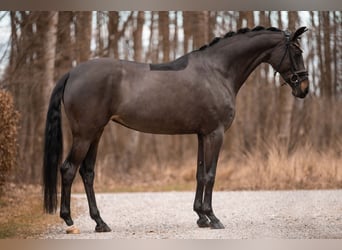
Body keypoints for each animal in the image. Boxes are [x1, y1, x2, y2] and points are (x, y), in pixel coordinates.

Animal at [42, 25, 310, 232]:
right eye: (297, 51)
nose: (304, 89)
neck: (218, 71)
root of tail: (72, 72)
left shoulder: (203, 134)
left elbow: (200, 173)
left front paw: (201, 217)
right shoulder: (215, 133)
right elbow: (211, 174)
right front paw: (213, 218)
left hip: (96, 133)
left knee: (87, 173)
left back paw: (100, 222)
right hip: (84, 134)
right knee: (68, 169)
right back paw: (69, 220)